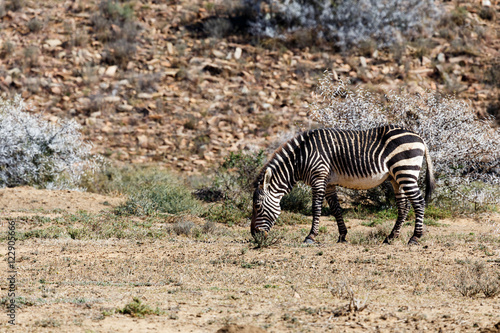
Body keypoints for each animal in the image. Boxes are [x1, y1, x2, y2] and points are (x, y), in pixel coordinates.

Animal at [252, 124, 436, 244]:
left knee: (418, 202)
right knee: (404, 206)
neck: (300, 157)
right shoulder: (328, 183)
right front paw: (342, 236)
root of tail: (419, 137)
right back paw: (391, 237)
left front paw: (310, 236)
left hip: (406, 171)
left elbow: (316, 208)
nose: (254, 236)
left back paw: (415, 237)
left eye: (257, 207)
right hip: (396, 177)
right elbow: (336, 209)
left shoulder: (319, 176)